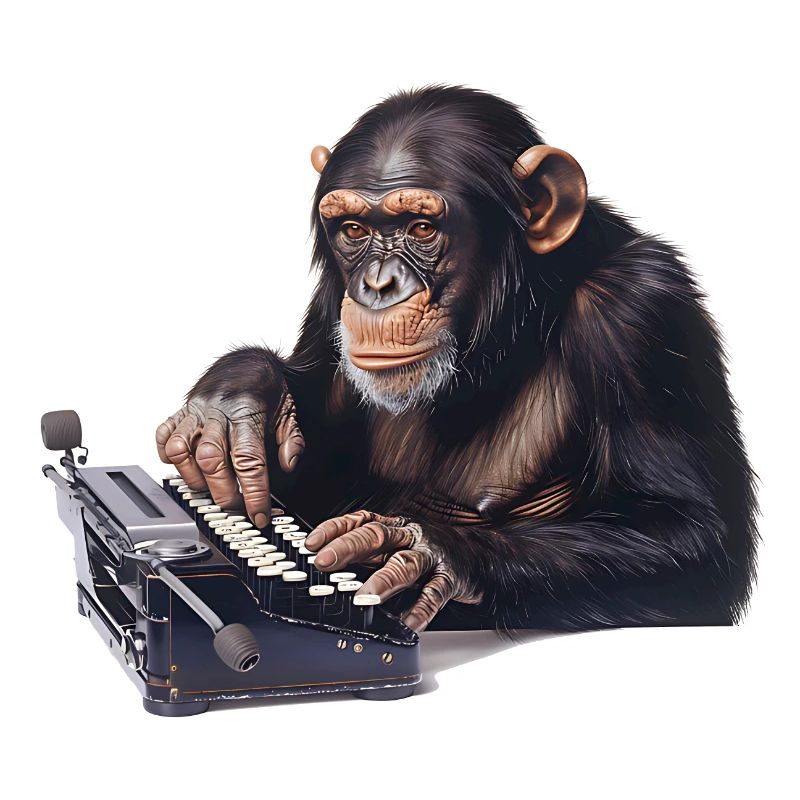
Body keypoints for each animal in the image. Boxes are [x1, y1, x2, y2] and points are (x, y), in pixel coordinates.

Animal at [156, 85, 757, 633]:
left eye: (422, 228)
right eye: (353, 230)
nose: (376, 285)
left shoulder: (641, 306)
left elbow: (692, 535)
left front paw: (426, 550)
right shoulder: (330, 302)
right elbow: (308, 472)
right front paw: (233, 404)